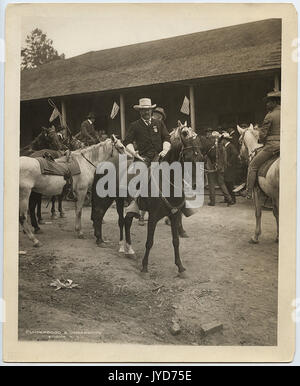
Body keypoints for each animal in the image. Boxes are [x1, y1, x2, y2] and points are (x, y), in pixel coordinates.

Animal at [91, 127, 204, 278]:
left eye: (200, 157)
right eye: (186, 157)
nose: (195, 184)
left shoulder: (174, 215)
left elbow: (176, 241)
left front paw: (180, 267)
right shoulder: (153, 216)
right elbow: (149, 241)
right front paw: (144, 267)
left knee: (125, 221)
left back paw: (128, 250)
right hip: (110, 198)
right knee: (103, 215)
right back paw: (106, 242)